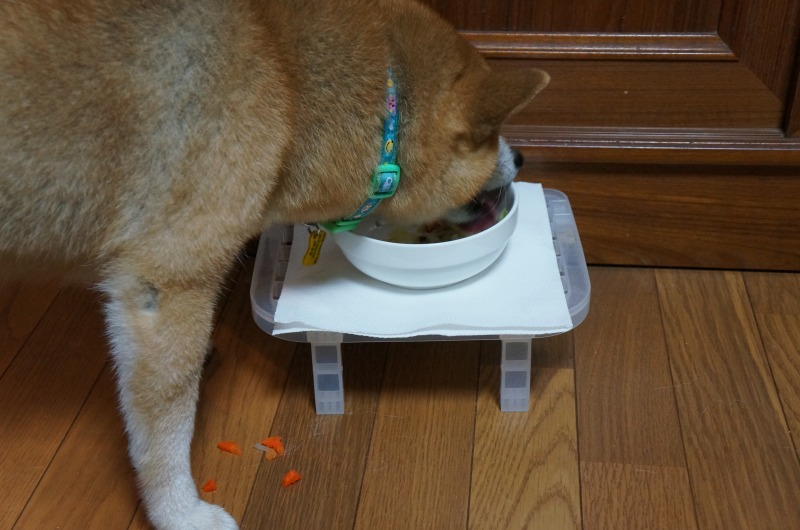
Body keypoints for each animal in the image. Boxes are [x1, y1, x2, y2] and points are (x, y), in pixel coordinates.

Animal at [0, 0, 548, 527]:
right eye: (488, 135)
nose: (523, 157)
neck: (288, 84)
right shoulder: (168, 280)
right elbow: (165, 426)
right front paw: (180, 513)